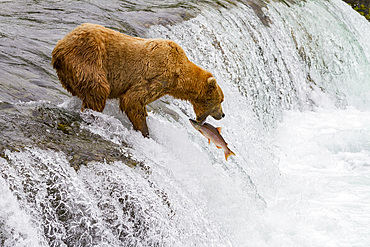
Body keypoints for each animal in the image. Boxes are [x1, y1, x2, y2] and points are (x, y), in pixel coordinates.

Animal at [51, 23, 225, 137]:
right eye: (220, 100)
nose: (222, 115)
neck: (179, 77)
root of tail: (59, 46)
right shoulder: (157, 77)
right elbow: (133, 100)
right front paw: (145, 131)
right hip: (88, 57)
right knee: (98, 89)